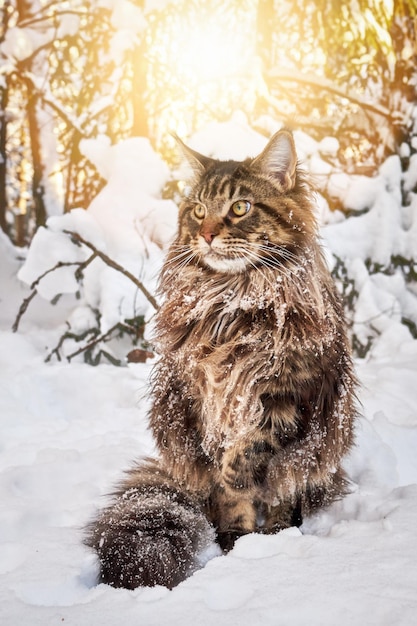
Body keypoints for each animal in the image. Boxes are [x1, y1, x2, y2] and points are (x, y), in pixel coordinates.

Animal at [83, 129, 354, 588]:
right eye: (197, 210)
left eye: (239, 207)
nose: (207, 233)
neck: (234, 298)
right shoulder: (203, 397)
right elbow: (228, 489)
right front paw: (236, 541)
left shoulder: (284, 397)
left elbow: (252, 460)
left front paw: (265, 534)